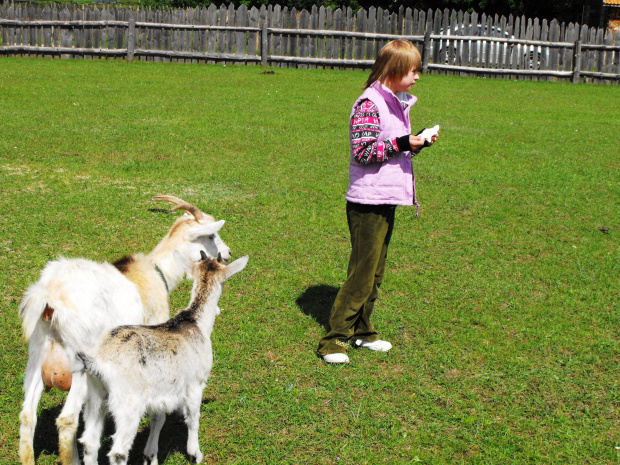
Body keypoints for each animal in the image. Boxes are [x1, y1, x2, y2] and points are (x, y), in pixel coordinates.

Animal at [78, 250, 248, 464]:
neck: (195, 323)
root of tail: (98, 363)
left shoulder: (162, 390)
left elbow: (158, 419)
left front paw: (150, 455)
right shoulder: (195, 383)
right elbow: (193, 418)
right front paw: (195, 453)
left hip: (95, 397)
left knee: (89, 442)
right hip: (128, 404)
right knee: (118, 452)